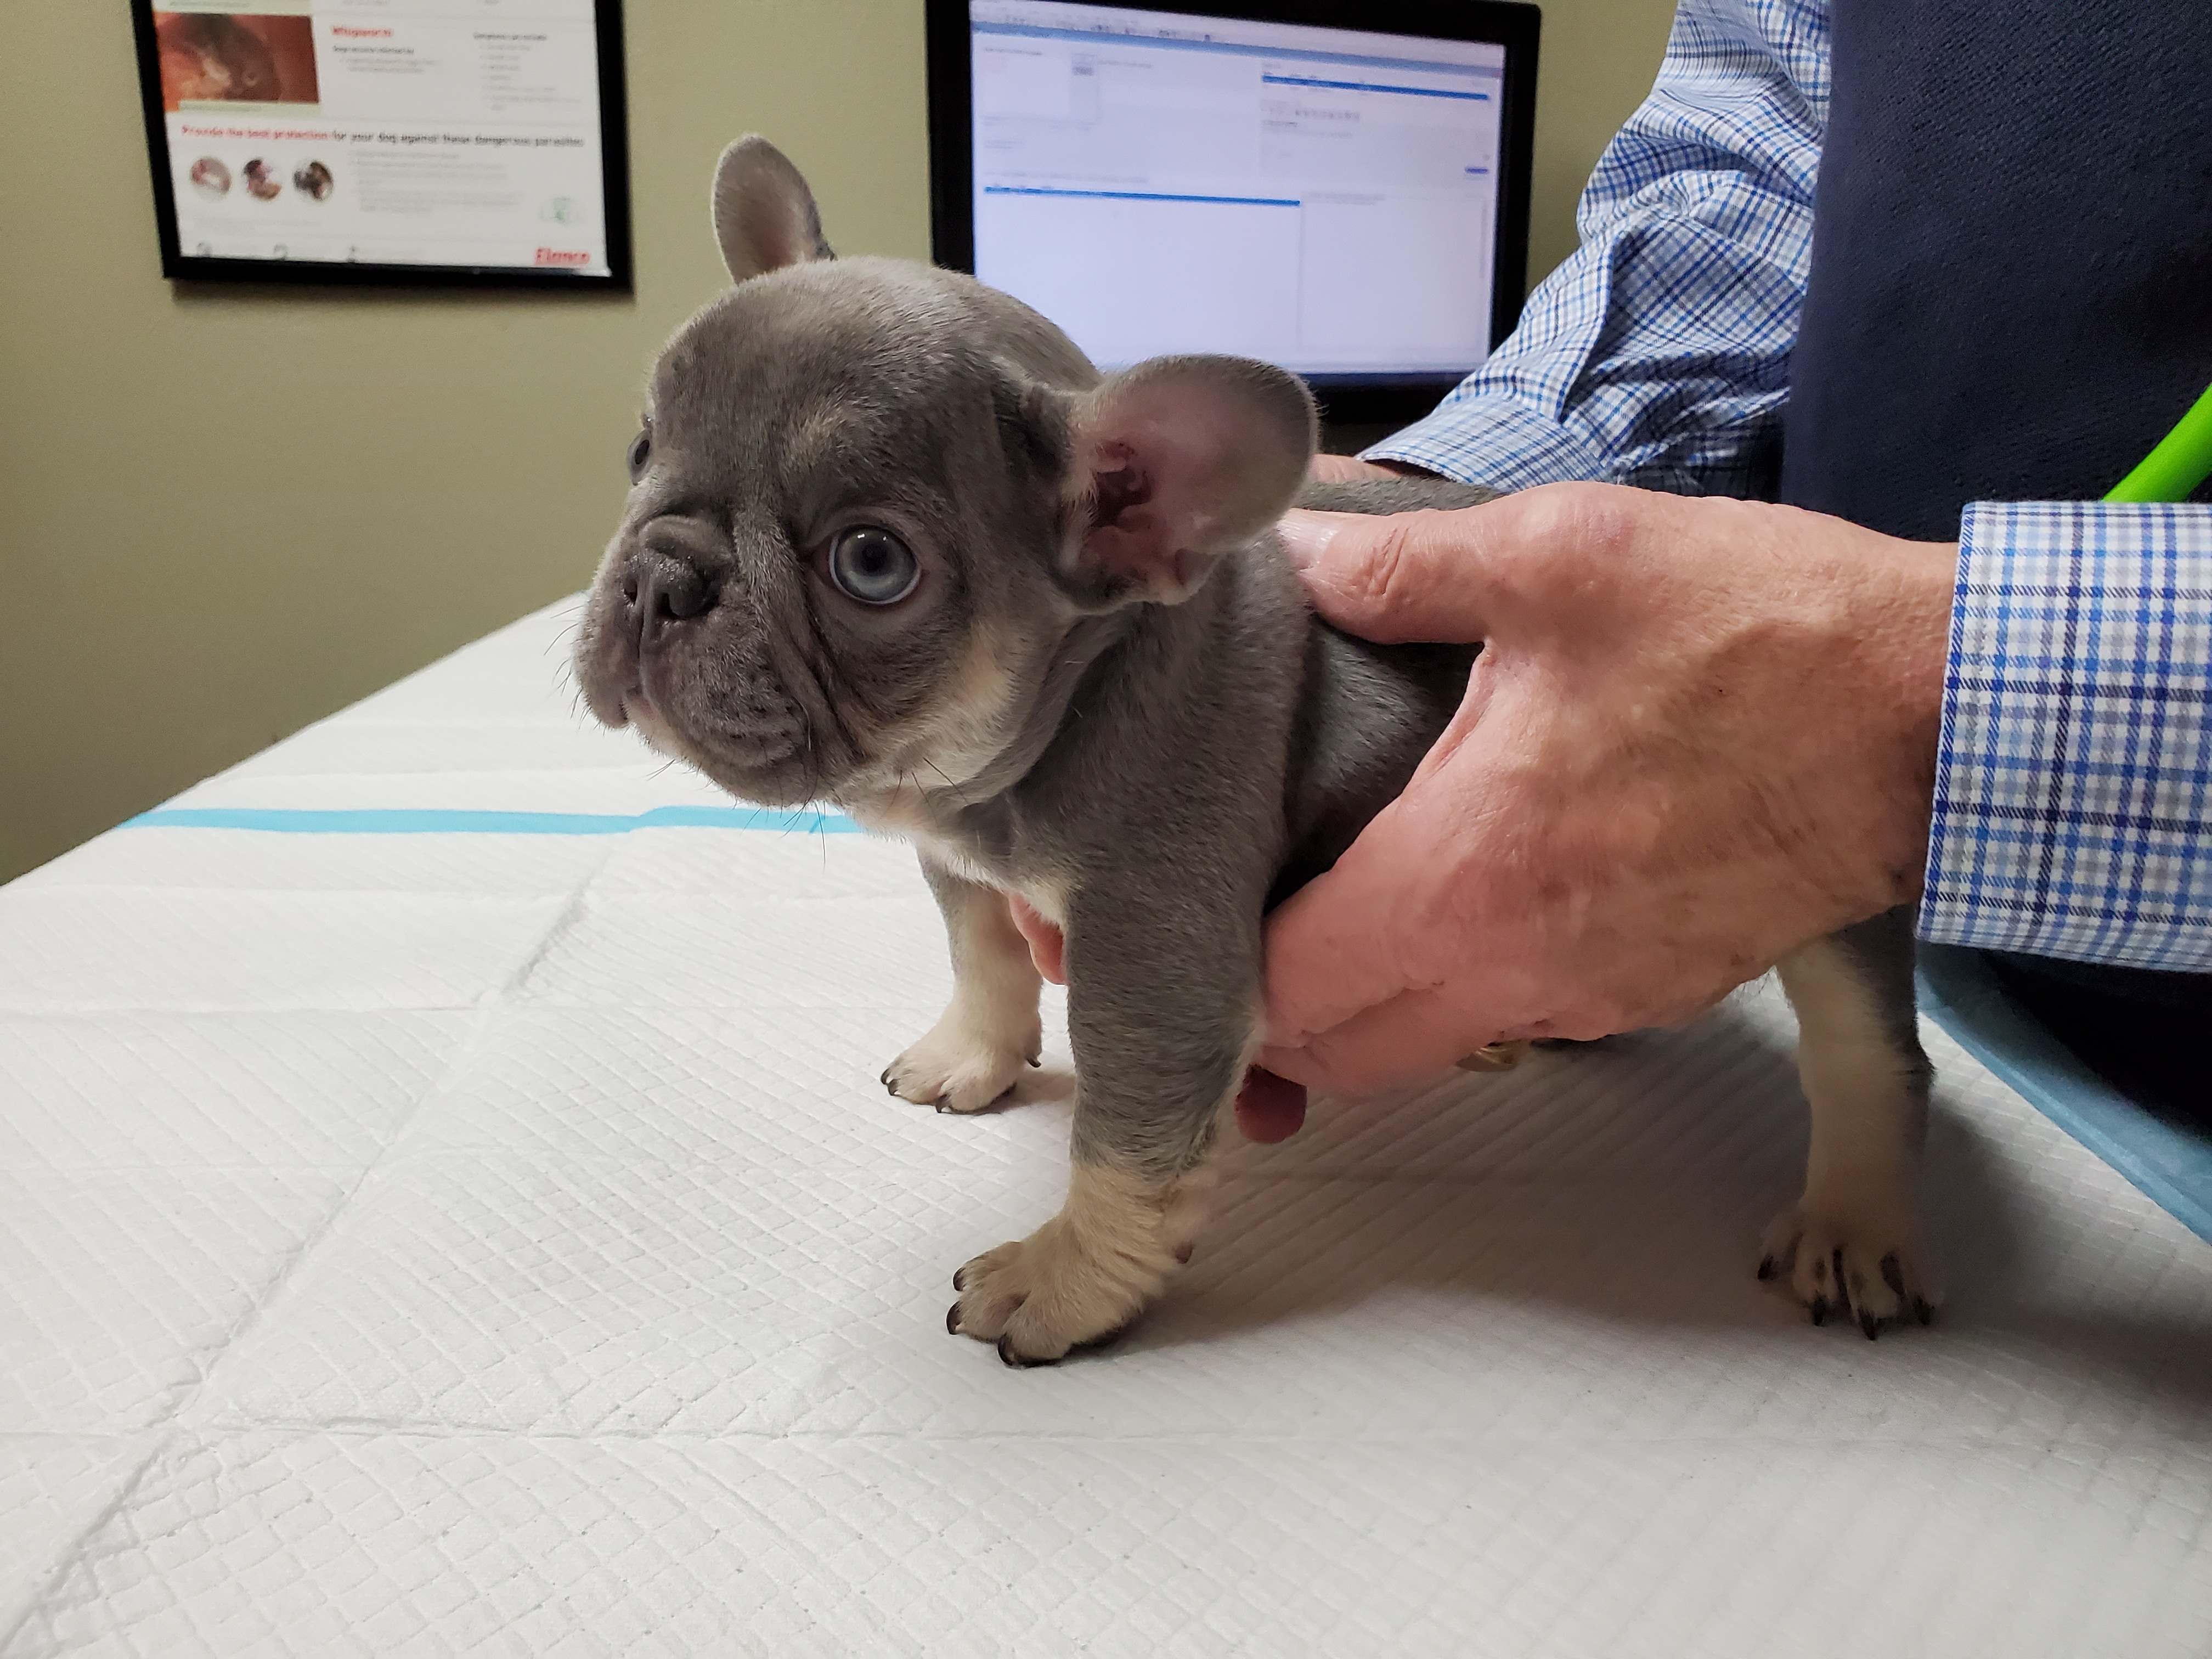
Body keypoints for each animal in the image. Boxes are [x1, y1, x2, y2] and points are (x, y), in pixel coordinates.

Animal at [575, 140, 1938, 1362]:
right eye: (640, 450)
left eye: (869, 563)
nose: (661, 578)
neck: (1052, 716)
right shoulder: (966, 862)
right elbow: (984, 953)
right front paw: (973, 1055)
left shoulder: (1155, 949)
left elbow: (1126, 1144)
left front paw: (1064, 1280)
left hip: (1826, 889)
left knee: (1867, 1052)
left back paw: (1854, 1221)